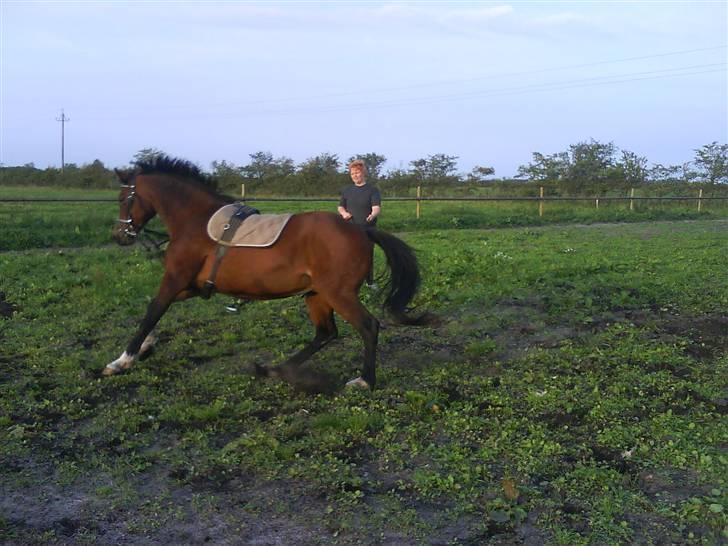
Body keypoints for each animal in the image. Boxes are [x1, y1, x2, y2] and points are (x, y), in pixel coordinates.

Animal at [104, 155, 432, 388]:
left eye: (122, 200)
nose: (120, 236)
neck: (196, 221)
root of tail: (361, 230)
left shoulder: (175, 279)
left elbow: (152, 310)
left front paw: (122, 361)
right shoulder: (193, 285)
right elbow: (156, 310)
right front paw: (146, 347)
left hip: (338, 294)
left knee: (368, 326)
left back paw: (365, 380)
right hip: (316, 294)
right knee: (326, 333)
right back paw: (275, 369)